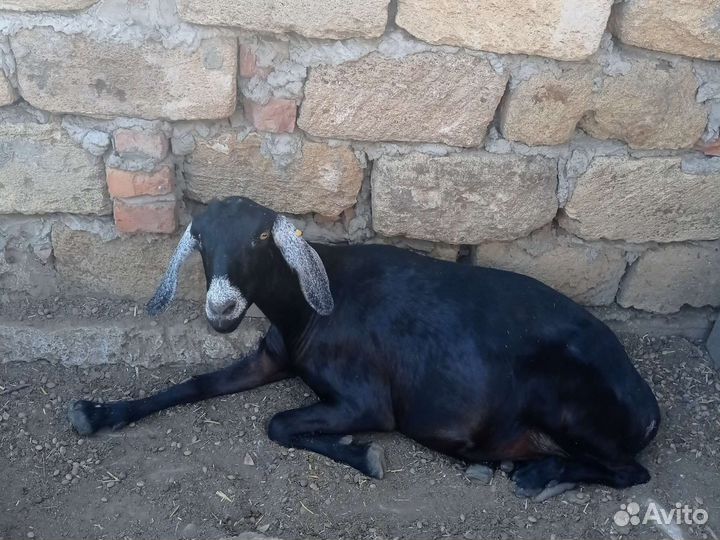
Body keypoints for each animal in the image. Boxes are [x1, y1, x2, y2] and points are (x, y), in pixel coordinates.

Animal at [68, 196, 660, 498]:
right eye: (203, 240)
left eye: (259, 239)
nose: (222, 309)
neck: (307, 312)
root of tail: (649, 409)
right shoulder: (271, 357)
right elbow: (194, 384)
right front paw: (96, 413)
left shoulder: (368, 402)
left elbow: (278, 424)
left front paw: (365, 453)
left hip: (564, 399)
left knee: (630, 472)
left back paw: (536, 475)